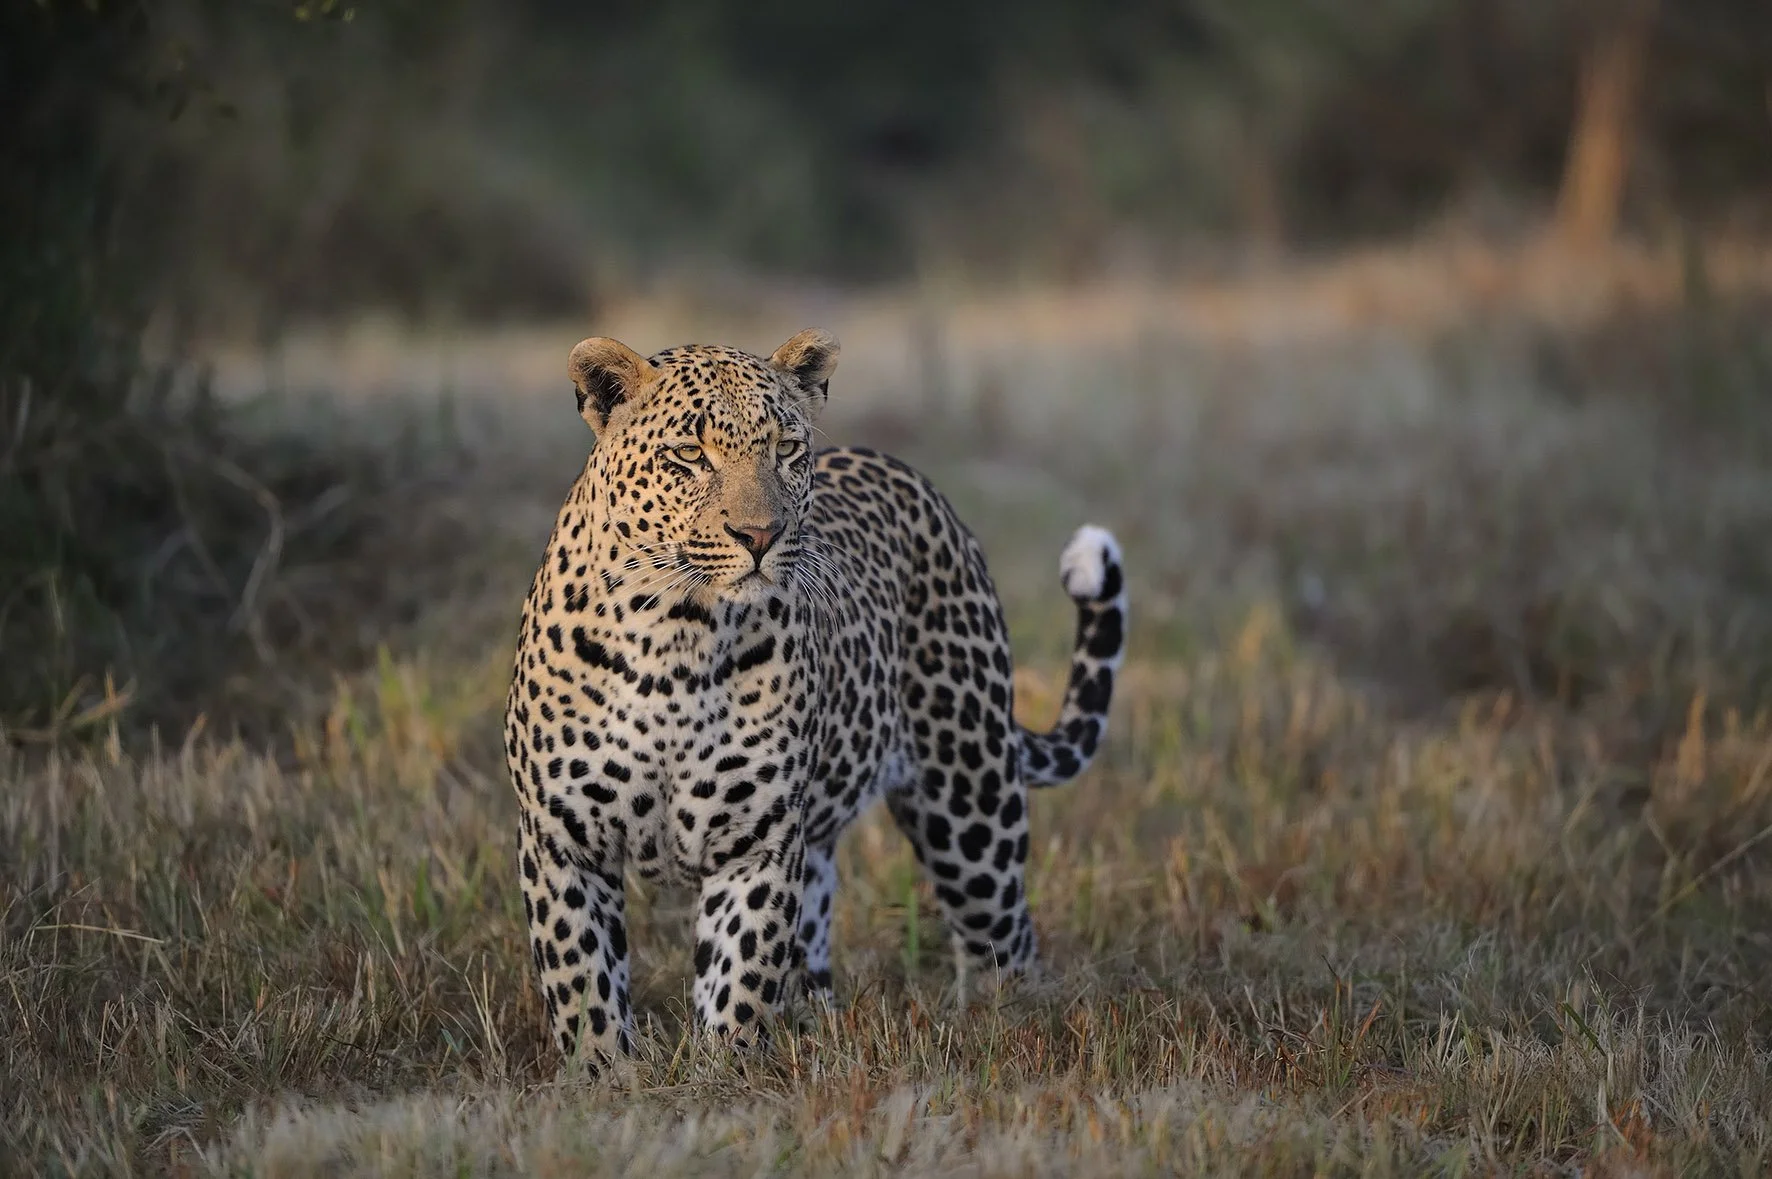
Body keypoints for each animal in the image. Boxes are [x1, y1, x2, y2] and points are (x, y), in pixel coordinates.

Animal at [503, 328, 1127, 1066]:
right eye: (689, 454)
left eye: (785, 449)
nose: (760, 536)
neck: (676, 635)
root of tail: (912, 478)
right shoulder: (562, 841)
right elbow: (584, 986)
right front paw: (605, 1075)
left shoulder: (756, 843)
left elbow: (738, 983)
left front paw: (727, 1075)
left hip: (971, 807)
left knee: (1008, 944)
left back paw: (1014, 1025)